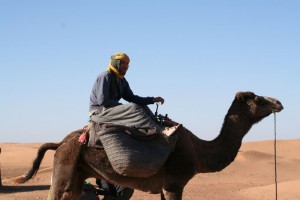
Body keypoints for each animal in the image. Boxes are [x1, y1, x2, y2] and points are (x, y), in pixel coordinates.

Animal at [15, 91, 284, 199]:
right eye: (259, 99)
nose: (279, 102)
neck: (198, 151)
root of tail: (60, 143)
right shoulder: (174, 183)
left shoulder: (166, 186)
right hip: (65, 166)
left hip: (77, 175)